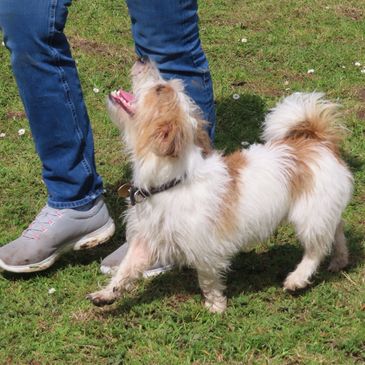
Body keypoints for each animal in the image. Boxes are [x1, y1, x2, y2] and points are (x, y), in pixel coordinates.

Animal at [86, 58, 352, 312]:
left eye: (161, 89)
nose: (143, 58)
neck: (171, 182)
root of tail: (318, 140)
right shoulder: (146, 237)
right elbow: (127, 268)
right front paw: (107, 294)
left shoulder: (205, 247)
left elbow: (207, 279)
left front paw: (215, 305)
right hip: (321, 209)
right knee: (336, 229)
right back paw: (340, 259)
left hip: (309, 214)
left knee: (316, 249)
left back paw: (297, 278)